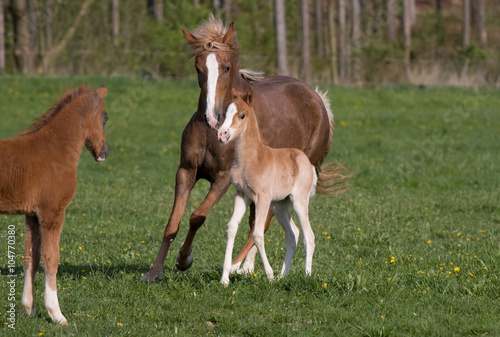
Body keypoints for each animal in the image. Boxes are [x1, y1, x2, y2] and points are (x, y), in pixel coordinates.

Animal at [0, 84, 109, 322]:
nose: (105, 153)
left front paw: (29, 308)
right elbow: (52, 257)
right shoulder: (53, 212)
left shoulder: (32, 214)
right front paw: (56, 314)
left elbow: (31, 256)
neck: (55, 149)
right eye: (105, 117)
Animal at [218, 88, 316, 284]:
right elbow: (231, 227)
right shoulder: (242, 195)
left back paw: (307, 275)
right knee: (293, 234)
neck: (251, 159)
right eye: (225, 113)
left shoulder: (262, 197)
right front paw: (224, 279)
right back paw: (282, 276)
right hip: (280, 205)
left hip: (298, 201)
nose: (222, 134)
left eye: (242, 115)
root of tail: (308, 163)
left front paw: (269, 275)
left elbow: (257, 233)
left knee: (308, 236)